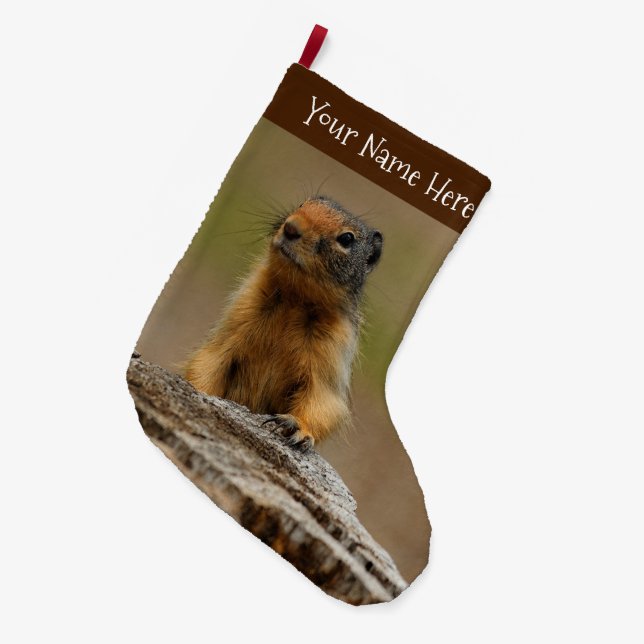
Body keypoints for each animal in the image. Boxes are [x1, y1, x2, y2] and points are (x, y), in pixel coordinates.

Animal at [185, 197, 383, 451]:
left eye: (347, 238)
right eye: (302, 204)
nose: (291, 227)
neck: (295, 299)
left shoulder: (332, 350)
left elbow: (323, 401)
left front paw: (296, 428)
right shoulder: (239, 315)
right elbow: (207, 362)